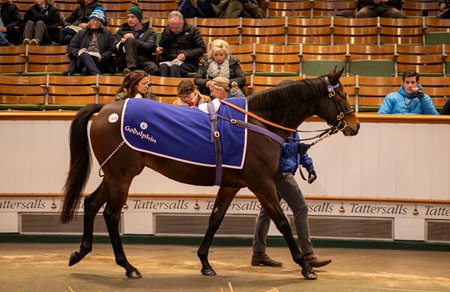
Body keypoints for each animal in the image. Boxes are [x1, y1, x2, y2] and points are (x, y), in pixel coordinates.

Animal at [60, 66, 358, 280]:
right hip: (122, 177)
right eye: (342, 95)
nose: (354, 126)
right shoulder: (261, 183)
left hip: (113, 175)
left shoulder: (231, 185)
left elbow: (215, 220)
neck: (256, 124)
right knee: (110, 214)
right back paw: (128, 266)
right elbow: (282, 221)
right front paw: (306, 267)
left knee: (91, 204)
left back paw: (80, 252)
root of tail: (105, 110)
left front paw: (205, 262)